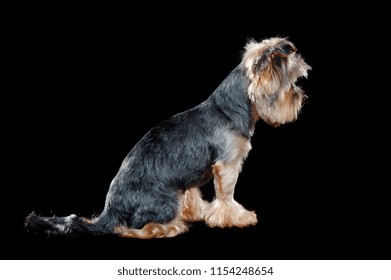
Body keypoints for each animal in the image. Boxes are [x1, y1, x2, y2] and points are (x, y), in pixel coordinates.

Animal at [25, 37, 312, 238]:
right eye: (291, 85)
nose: (301, 97)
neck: (229, 109)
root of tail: (110, 211)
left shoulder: (192, 173)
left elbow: (194, 190)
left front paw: (198, 212)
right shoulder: (227, 165)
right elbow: (226, 195)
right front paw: (236, 217)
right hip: (166, 200)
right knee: (132, 229)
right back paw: (171, 227)